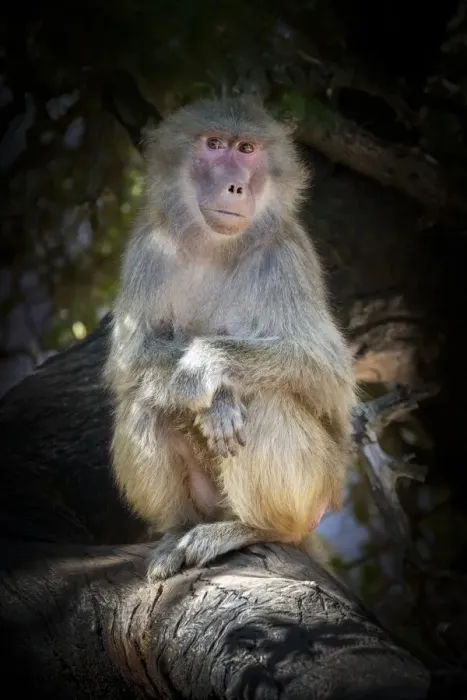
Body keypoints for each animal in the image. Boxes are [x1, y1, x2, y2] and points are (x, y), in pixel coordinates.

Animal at [103, 97, 358, 580]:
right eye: (214, 144)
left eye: (246, 149)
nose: (234, 187)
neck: (216, 247)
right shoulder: (149, 245)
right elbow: (132, 358)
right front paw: (214, 400)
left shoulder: (285, 255)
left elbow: (324, 370)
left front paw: (208, 370)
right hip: (209, 498)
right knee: (145, 398)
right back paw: (178, 529)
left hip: (319, 488)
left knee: (266, 400)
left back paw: (257, 527)